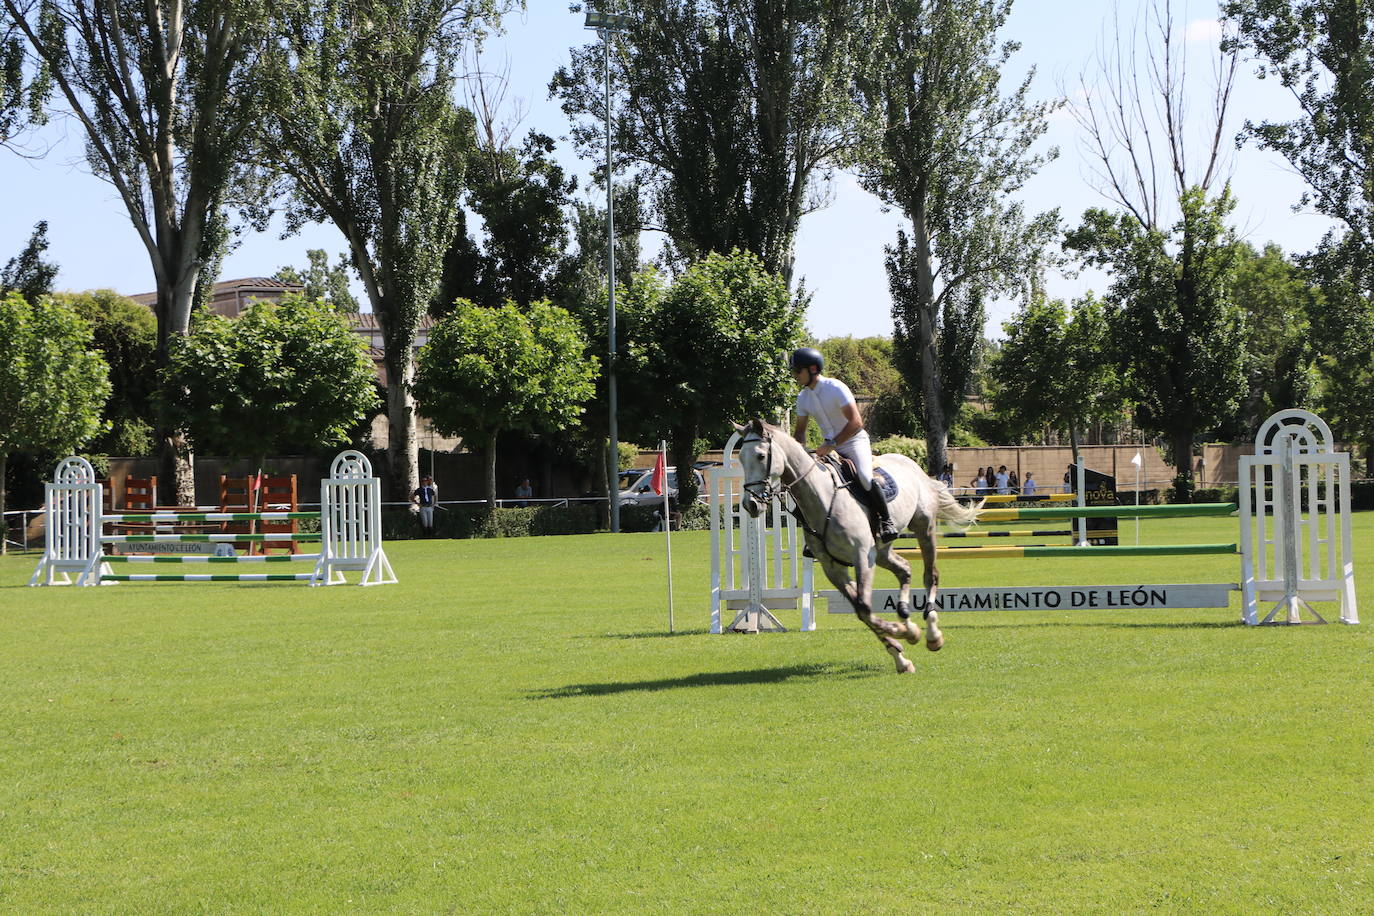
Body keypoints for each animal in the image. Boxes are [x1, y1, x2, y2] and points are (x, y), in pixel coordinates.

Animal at [736, 420, 983, 670]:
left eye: (760, 456)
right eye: (740, 459)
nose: (751, 505)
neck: (821, 498)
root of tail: (914, 466)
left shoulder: (862, 556)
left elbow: (864, 606)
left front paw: (904, 634)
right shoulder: (833, 567)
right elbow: (861, 610)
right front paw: (903, 648)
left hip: (923, 528)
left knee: (930, 575)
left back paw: (933, 635)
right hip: (882, 551)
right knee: (904, 569)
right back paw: (905, 616)